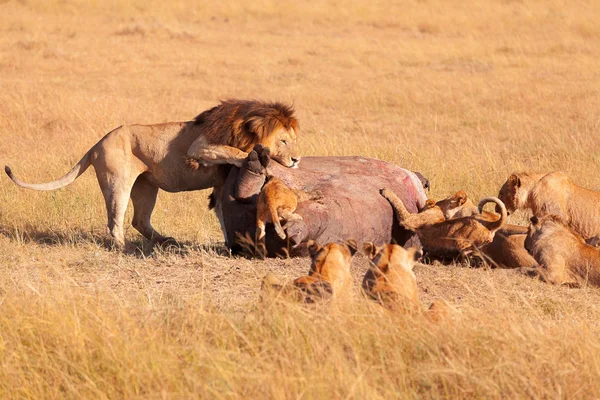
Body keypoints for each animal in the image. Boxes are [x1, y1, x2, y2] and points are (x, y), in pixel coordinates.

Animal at [5, 99, 300, 247]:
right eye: (284, 141)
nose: (297, 160)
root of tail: (98, 142)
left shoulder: (218, 184)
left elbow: (222, 214)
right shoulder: (199, 146)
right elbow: (234, 152)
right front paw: (261, 161)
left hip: (146, 187)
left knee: (139, 220)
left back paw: (166, 241)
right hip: (118, 182)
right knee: (115, 220)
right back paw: (122, 247)